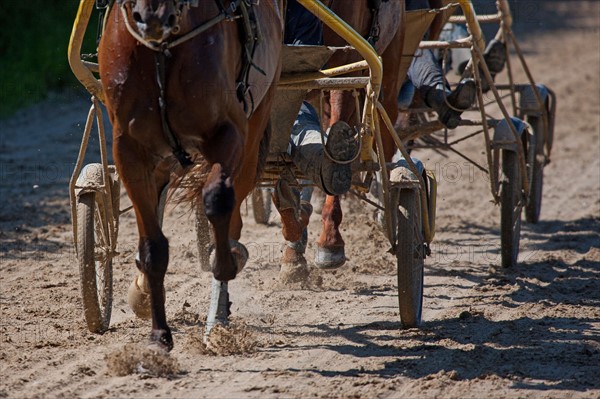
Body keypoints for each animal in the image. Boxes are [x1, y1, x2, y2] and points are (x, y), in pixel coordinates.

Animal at [99, 0, 284, 350]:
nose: (152, 18)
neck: (163, 50)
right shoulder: (130, 152)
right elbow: (153, 245)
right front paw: (159, 334)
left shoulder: (229, 130)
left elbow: (217, 199)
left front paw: (225, 263)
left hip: (259, 116)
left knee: (233, 204)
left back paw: (218, 312)